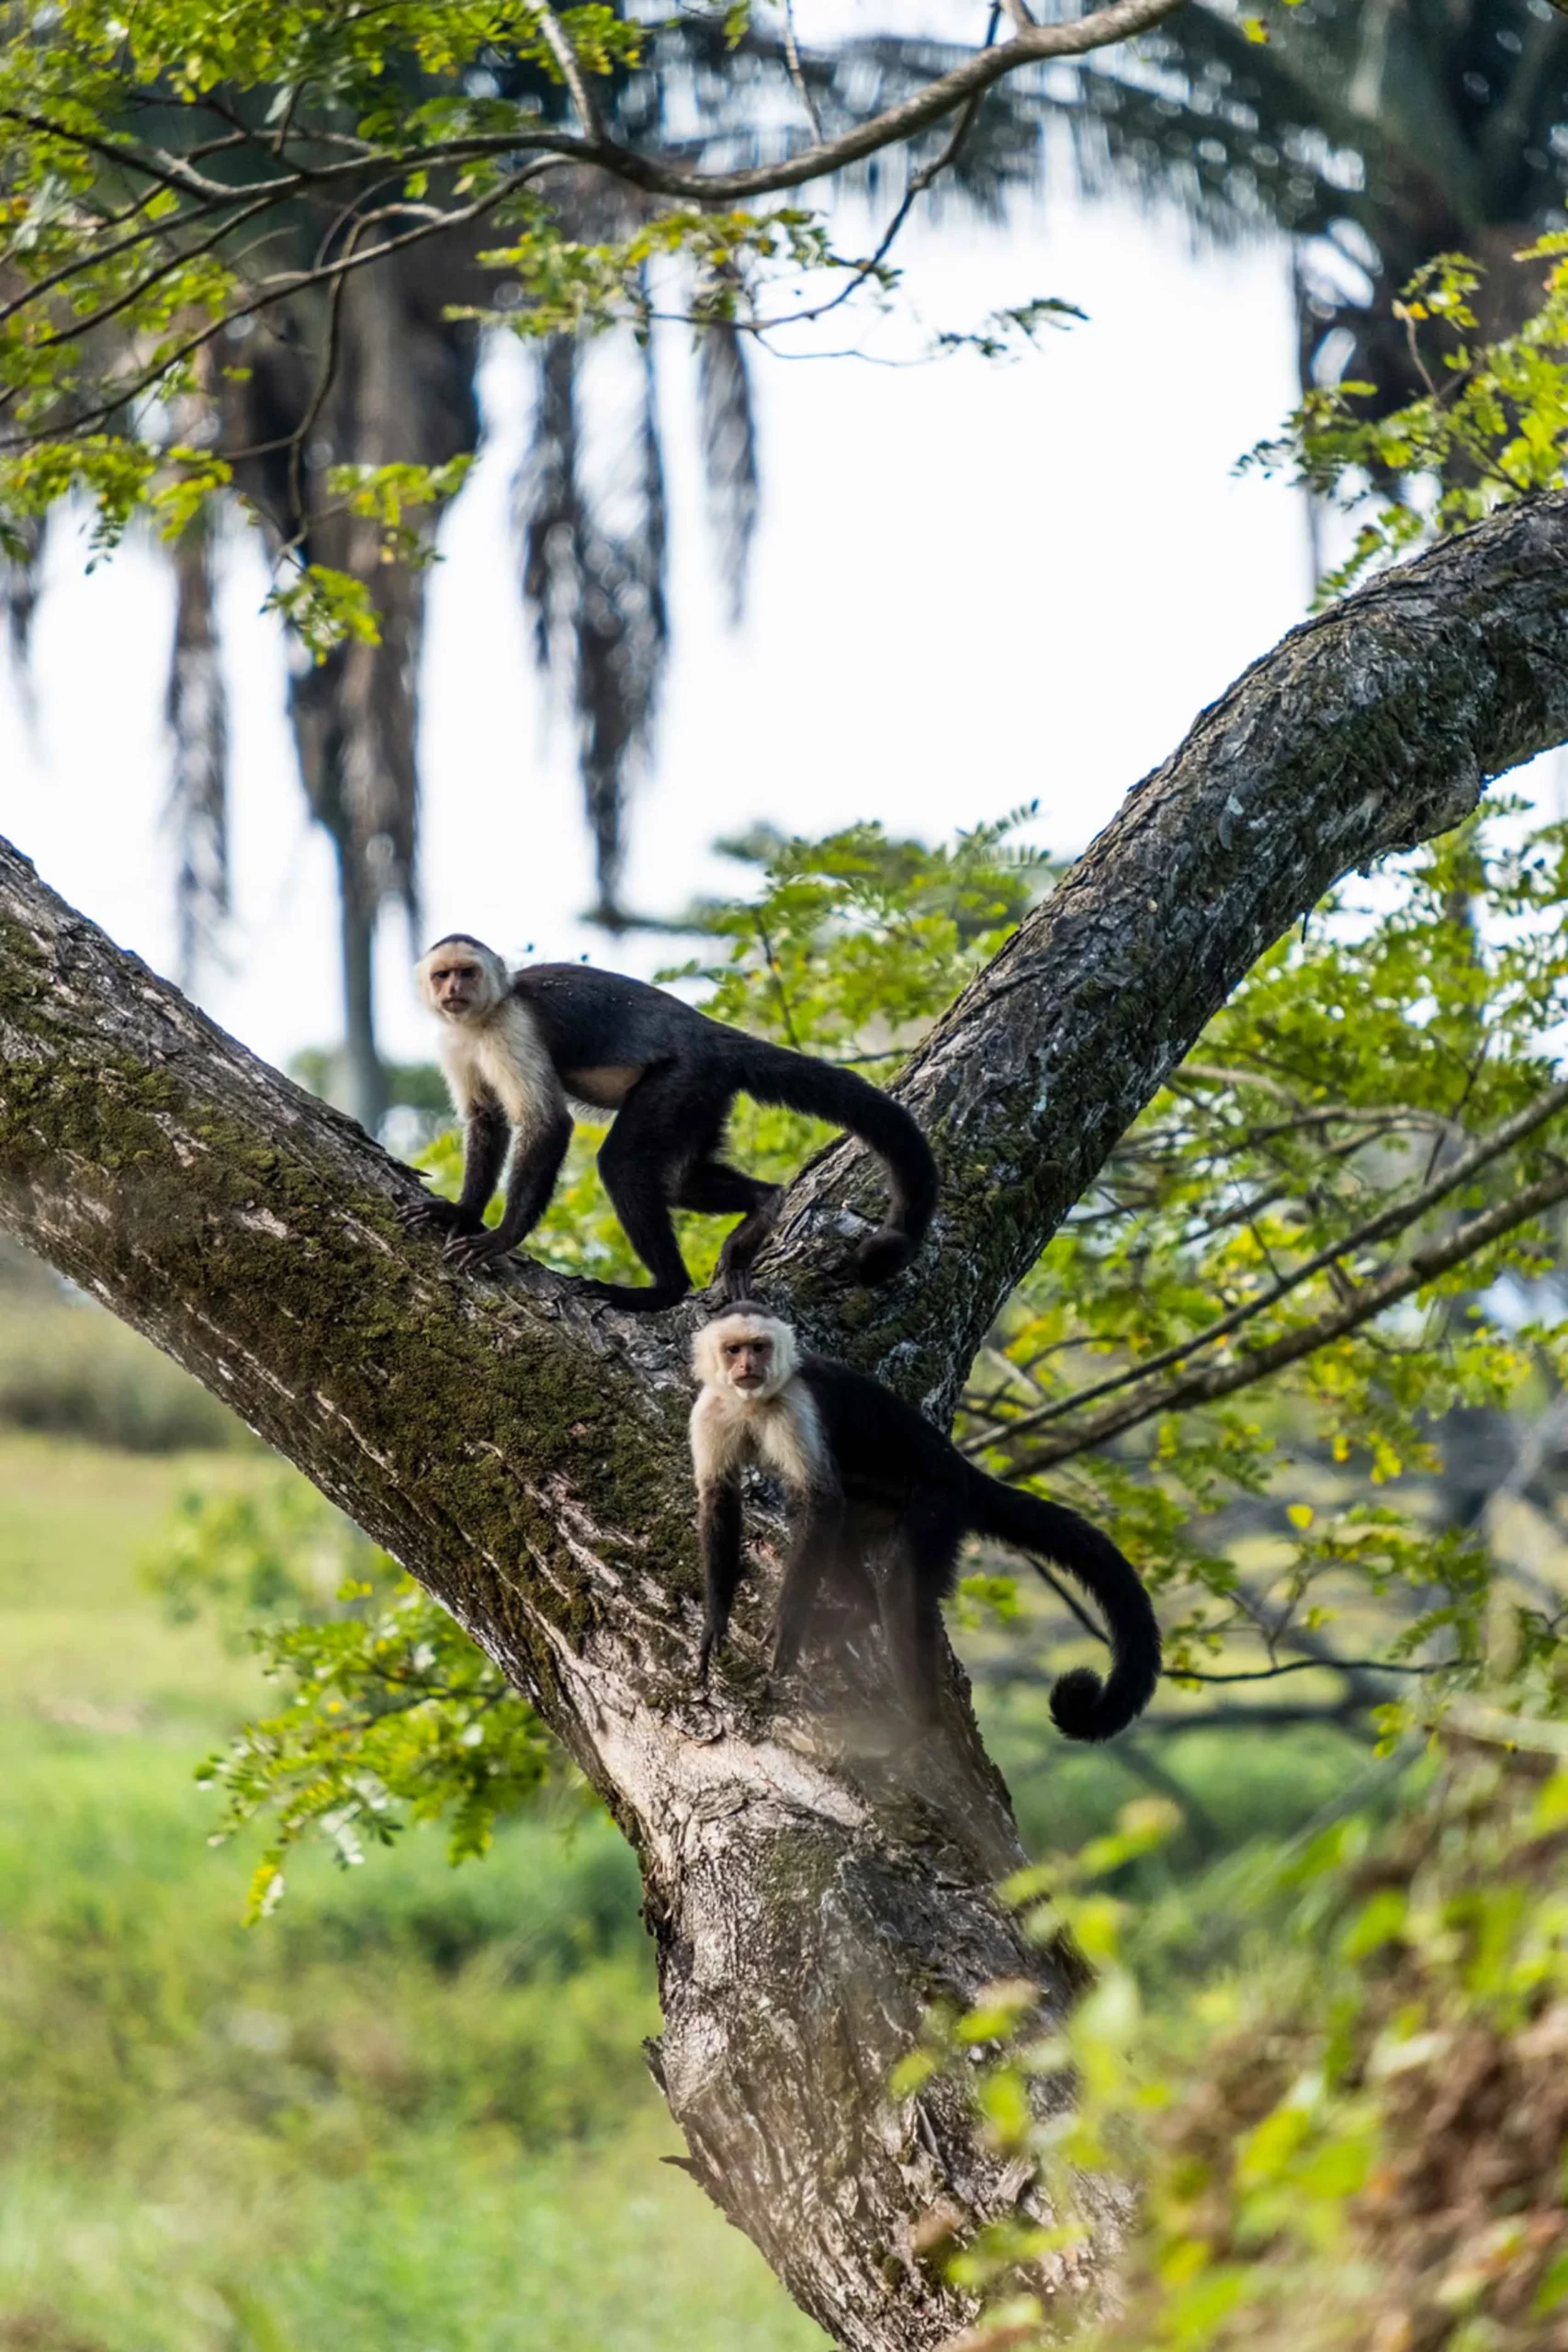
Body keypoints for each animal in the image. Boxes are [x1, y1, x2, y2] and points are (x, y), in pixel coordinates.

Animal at [402, 934, 940, 1312]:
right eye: (442, 975)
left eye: (467, 972)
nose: (454, 990)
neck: (481, 1018)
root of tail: (712, 1034)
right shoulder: (455, 1040)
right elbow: (486, 1121)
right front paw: (461, 1211)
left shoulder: (511, 1026)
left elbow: (547, 1124)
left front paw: (502, 1236)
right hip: (705, 1098)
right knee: (678, 1181)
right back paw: (764, 1204)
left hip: (683, 1079)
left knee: (623, 1166)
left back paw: (663, 1290)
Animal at [688, 1303, 1162, 1737]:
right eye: (733, 1350)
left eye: (759, 1347)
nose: (748, 1366)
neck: (752, 1403)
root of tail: (960, 1466)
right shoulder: (709, 1409)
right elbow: (719, 1498)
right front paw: (716, 1616)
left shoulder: (796, 1404)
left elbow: (820, 1500)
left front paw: (789, 1621)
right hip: (883, 1503)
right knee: (841, 1538)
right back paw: (863, 1613)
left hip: (940, 1499)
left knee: (900, 1582)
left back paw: (920, 1718)